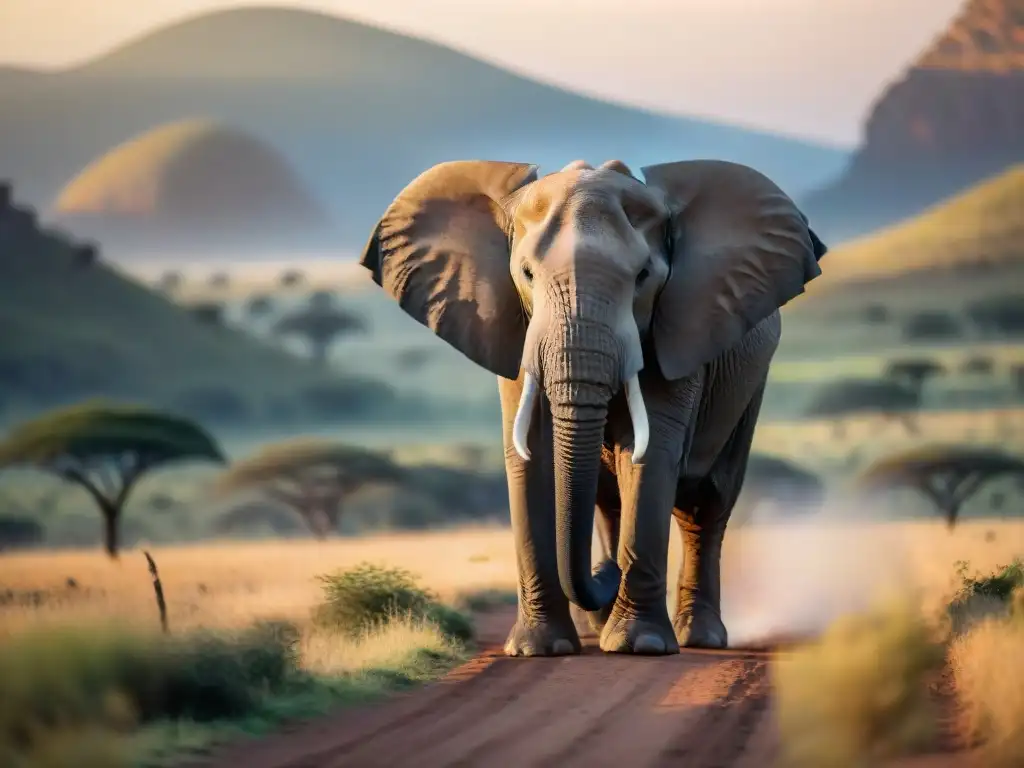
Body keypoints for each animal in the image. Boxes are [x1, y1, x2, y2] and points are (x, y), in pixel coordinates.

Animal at [356, 159, 827, 659]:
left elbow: (650, 452)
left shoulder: (675, 329)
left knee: (706, 503)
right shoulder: (516, 331)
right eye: (526, 273)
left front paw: (640, 646)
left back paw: (697, 636)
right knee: (611, 502)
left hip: (750, 381)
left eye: (643, 277)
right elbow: (530, 458)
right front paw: (539, 650)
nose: (606, 574)